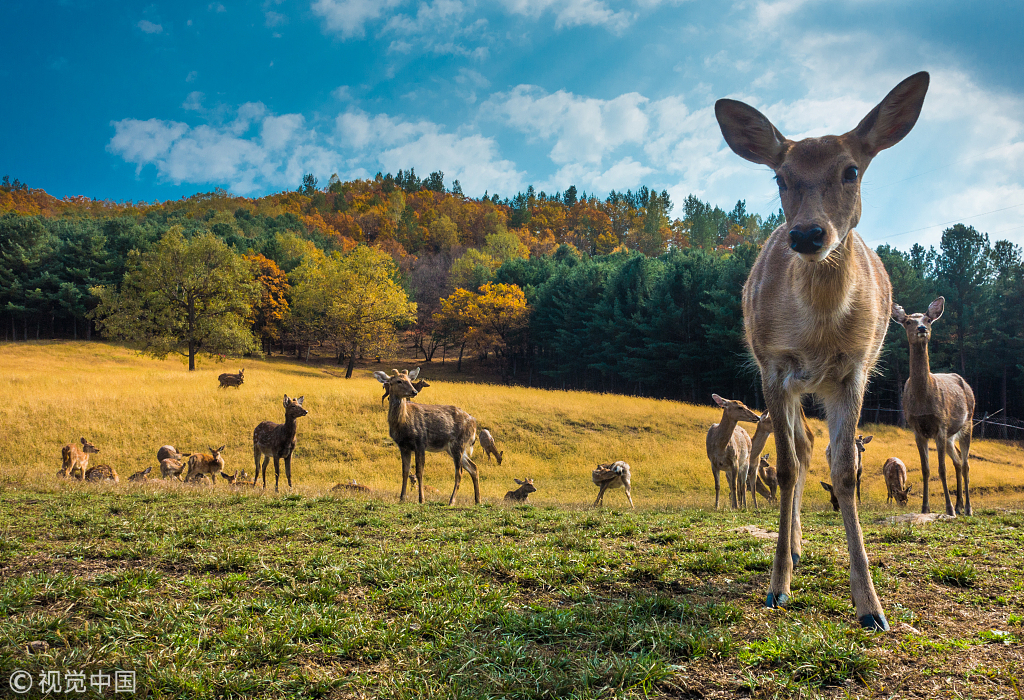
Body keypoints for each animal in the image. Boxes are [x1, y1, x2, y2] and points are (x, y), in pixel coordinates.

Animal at [374, 368, 481, 505]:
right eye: (399, 381)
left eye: (410, 380)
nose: (414, 392)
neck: (402, 423)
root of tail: (474, 423)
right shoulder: (403, 446)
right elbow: (405, 471)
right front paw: (402, 498)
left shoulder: (420, 442)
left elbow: (419, 471)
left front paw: (421, 499)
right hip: (452, 448)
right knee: (473, 467)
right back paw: (478, 500)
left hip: (459, 443)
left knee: (459, 472)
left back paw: (451, 501)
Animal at [716, 72, 933, 634]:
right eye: (780, 178)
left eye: (851, 170)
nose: (808, 233)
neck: (817, 332)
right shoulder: (773, 367)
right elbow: (787, 469)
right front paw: (777, 587)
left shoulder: (853, 372)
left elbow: (845, 472)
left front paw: (871, 606)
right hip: (788, 385)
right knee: (797, 448)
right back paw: (791, 548)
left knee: (813, 446)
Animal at [892, 298, 978, 515]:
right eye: (908, 321)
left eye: (928, 319)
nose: (922, 328)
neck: (923, 402)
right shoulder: (917, 429)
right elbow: (926, 469)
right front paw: (925, 507)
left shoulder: (941, 424)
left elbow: (941, 469)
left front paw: (948, 508)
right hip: (950, 436)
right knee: (958, 461)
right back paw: (960, 504)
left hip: (968, 423)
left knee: (965, 464)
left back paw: (967, 508)